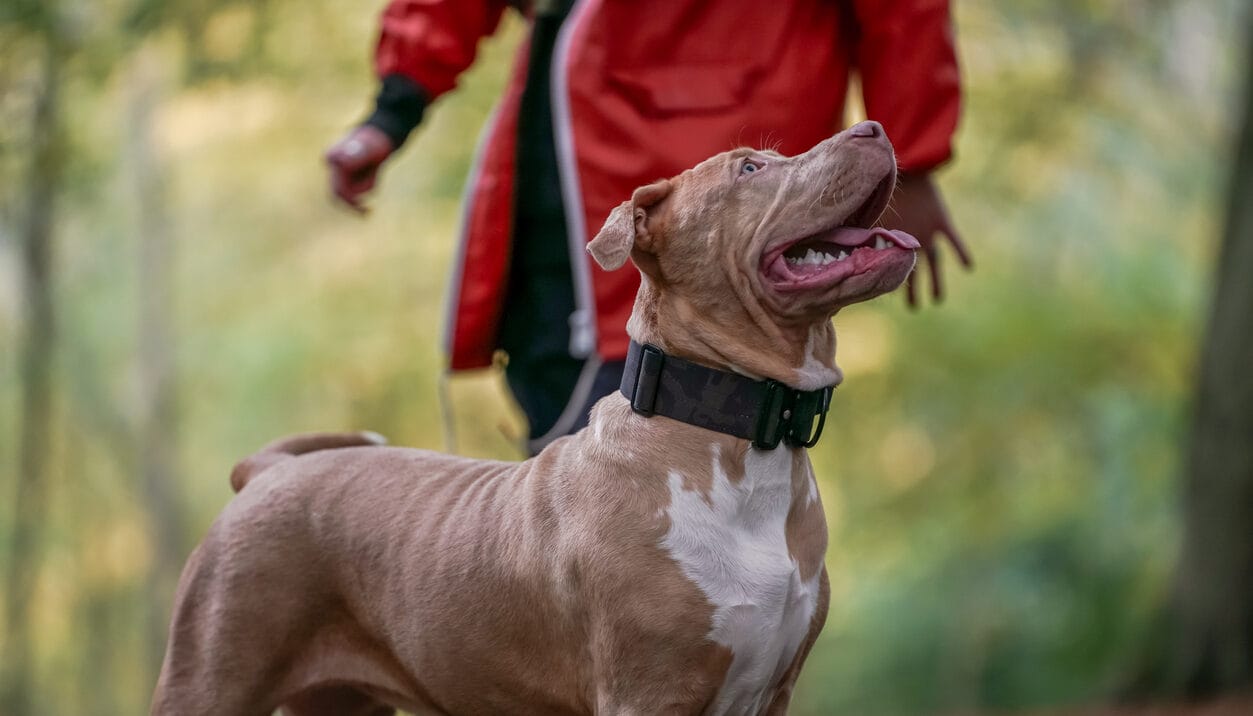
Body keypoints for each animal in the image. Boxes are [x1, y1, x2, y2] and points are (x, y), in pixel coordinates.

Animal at [154, 120, 922, 712]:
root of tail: (268, 472)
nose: (874, 127)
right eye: (751, 168)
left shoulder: (772, 691)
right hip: (209, 676)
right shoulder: (648, 694)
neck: (738, 436)